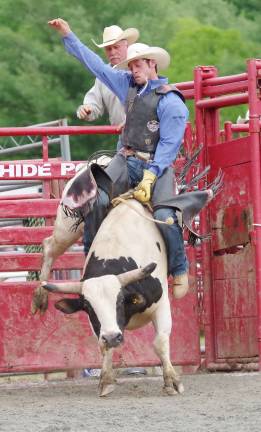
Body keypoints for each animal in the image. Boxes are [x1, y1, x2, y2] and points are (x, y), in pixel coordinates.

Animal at [41, 201, 183, 396]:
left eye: (120, 300)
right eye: (88, 306)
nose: (112, 337)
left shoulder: (161, 304)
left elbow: (160, 342)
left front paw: (172, 382)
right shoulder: (98, 326)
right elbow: (104, 347)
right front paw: (107, 380)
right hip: (65, 226)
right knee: (50, 245)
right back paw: (39, 295)